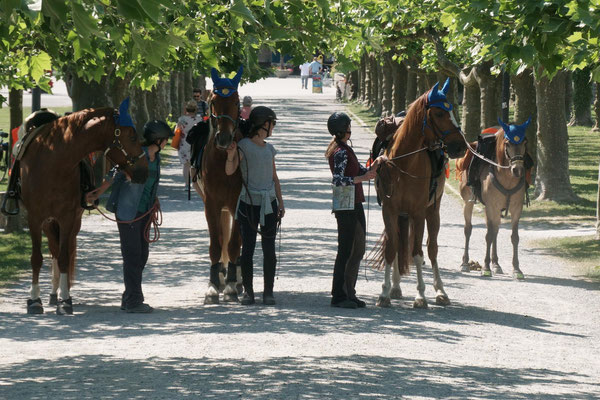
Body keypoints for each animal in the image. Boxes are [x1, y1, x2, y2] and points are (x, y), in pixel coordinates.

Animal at [15, 98, 149, 314]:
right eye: (132, 136)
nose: (144, 171)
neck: (52, 161)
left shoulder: (68, 217)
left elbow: (64, 257)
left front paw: (65, 300)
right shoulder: (35, 218)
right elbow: (36, 258)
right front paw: (34, 300)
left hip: (72, 222)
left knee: (63, 252)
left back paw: (60, 292)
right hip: (49, 223)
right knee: (53, 250)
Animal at [376, 78, 468, 310]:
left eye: (453, 110)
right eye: (439, 113)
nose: (461, 146)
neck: (403, 163)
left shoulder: (418, 213)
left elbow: (418, 253)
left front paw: (420, 295)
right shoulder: (389, 211)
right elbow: (391, 248)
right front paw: (385, 292)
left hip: (432, 212)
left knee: (432, 248)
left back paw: (440, 291)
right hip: (402, 215)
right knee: (399, 244)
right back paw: (396, 286)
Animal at [458, 118, 532, 278]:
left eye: (525, 142)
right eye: (507, 143)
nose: (518, 170)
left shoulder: (516, 208)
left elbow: (514, 237)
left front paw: (516, 269)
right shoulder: (491, 206)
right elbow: (488, 235)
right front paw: (486, 267)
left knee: (496, 230)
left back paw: (496, 264)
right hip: (469, 202)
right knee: (468, 229)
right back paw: (465, 263)